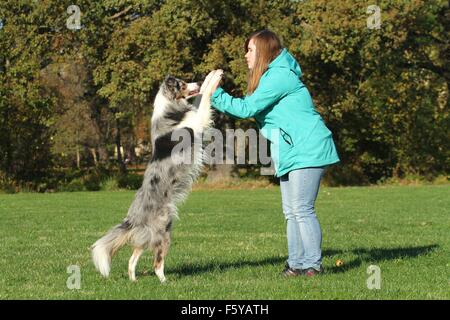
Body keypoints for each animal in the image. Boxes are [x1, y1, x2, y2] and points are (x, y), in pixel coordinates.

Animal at [91, 69, 223, 282]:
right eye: (182, 84)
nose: (197, 82)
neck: (169, 109)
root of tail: (133, 217)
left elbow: (198, 100)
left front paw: (208, 79)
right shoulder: (196, 123)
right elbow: (203, 102)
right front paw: (213, 78)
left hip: (149, 235)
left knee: (133, 258)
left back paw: (133, 280)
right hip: (164, 231)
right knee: (157, 263)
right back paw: (165, 282)